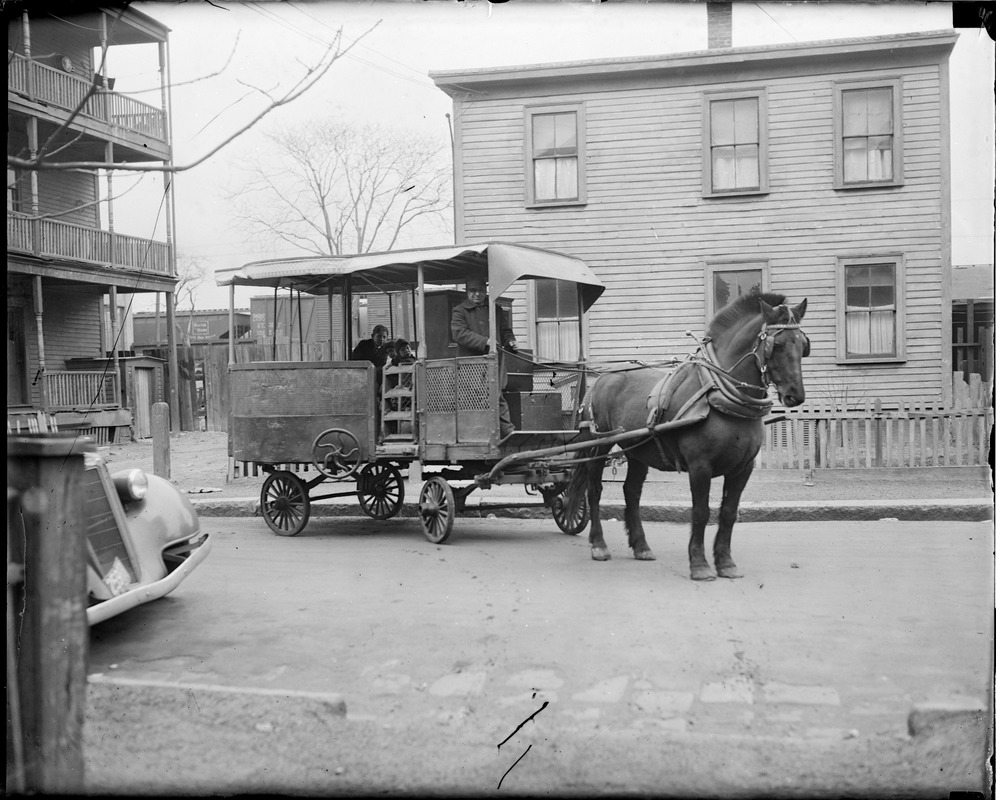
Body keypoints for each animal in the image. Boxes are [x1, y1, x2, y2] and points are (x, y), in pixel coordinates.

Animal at [560, 294, 808, 580]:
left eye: (803, 344)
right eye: (776, 344)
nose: (795, 395)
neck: (720, 395)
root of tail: (601, 379)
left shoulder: (743, 468)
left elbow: (728, 512)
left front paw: (726, 563)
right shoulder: (700, 466)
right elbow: (701, 512)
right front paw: (699, 564)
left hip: (638, 450)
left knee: (631, 491)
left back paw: (641, 546)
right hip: (599, 445)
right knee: (594, 490)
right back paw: (599, 545)